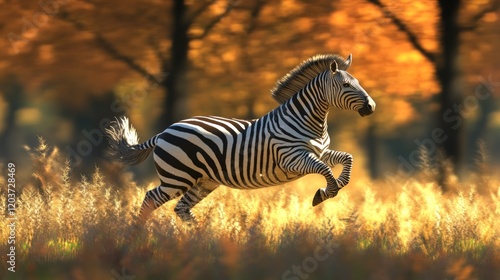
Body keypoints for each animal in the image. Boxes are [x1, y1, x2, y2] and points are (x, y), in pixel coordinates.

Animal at [105, 53, 376, 224]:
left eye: (358, 83)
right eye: (346, 85)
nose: (371, 107)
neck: (310, 121)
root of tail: (164, 132)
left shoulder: (321, 151)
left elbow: (347, 159)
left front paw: (334, 186)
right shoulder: (292, 158)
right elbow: (325, 170)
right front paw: (324, 193)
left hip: (203, 181)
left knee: (181, 208)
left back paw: (203, 239)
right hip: (177, 178)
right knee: (150, 198)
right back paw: (136, 237)